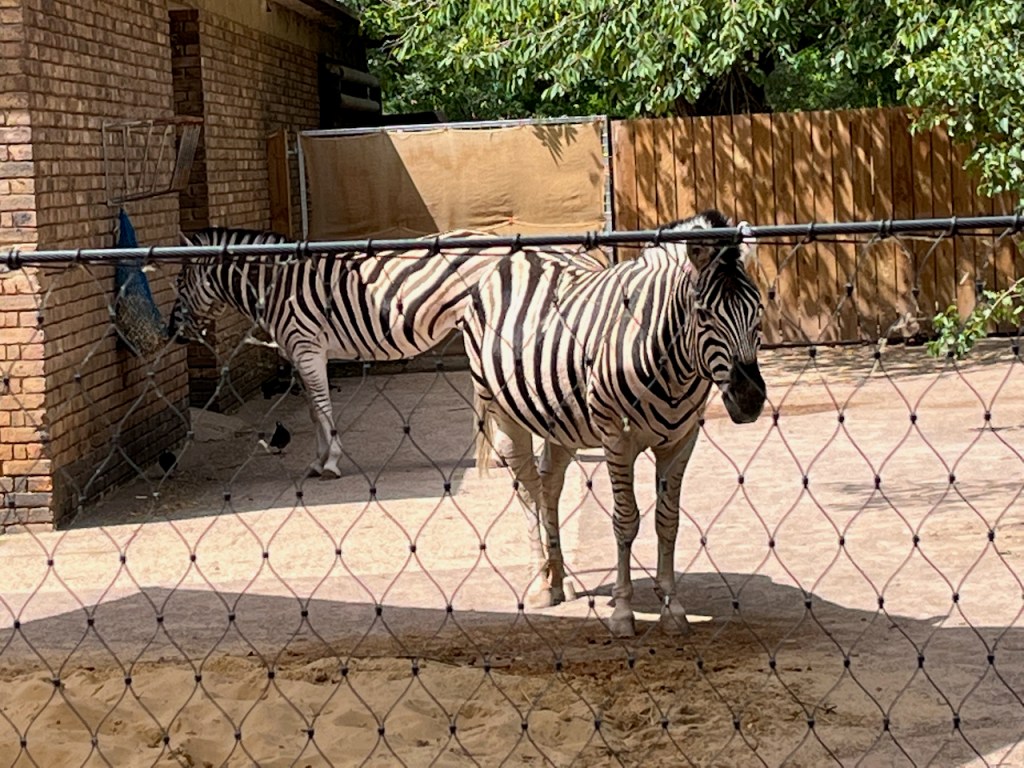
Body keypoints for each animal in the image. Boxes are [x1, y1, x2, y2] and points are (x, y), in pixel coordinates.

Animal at [168, 226, 601, 479]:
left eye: (179, 280)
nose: (171, 334)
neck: (278, 285)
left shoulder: (307, 347)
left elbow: (322, 408)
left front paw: (330, 462)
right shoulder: (302, 352)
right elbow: (313, 411)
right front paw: (317, 460)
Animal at [462, 209, 766, 637]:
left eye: (758, 310)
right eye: (704, 313)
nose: (750, 399)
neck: (673, 364)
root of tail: (519, 256)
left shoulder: (681, 439)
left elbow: (667, 521)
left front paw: (672, 608)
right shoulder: (617, 438)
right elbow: (626, 521)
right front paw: (623, 612)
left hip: (561, 419)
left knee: (549, 484)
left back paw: (559, 579)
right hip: (503, 414)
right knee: (527, 489)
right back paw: (541, 583)